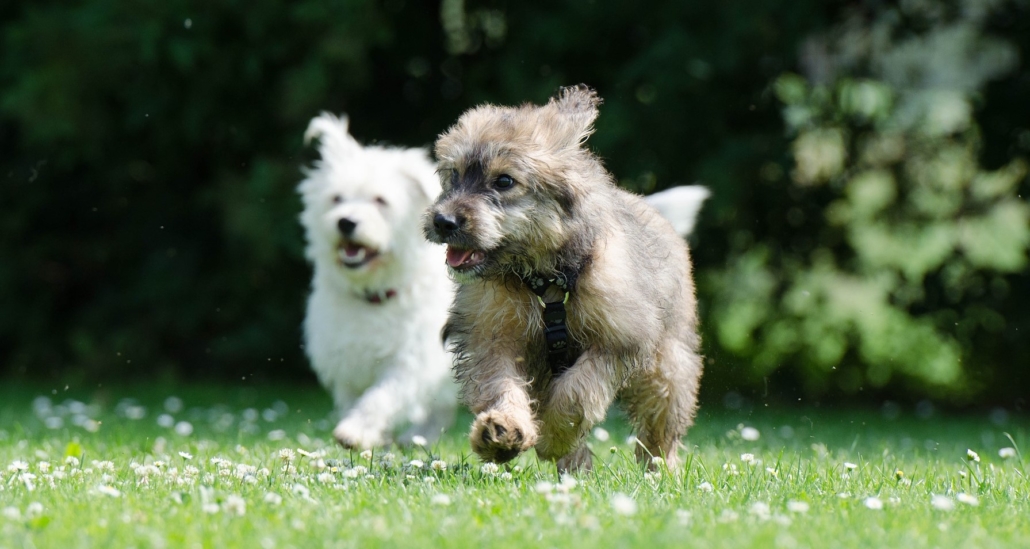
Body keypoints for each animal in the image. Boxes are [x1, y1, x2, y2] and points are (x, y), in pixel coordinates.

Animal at [300, 112, 457, 449]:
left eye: (380, 201)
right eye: (336, 198)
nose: (346, 222)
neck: (373, 292)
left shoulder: (410, 361)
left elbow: (381, 396)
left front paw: (356, 430)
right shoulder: (346, 362)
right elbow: (353, 398)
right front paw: (371, 435)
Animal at [422, 85, 704, 471]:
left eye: (504, 181)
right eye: (454, 174)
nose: (443, 221)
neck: (544, 281)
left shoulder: (618, 340)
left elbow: (577, 393)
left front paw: (553, 436)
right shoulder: (493, 336)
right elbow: (499, 384)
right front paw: (503, 429)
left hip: (668, 366)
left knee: (660, 424)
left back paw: (660, 470)